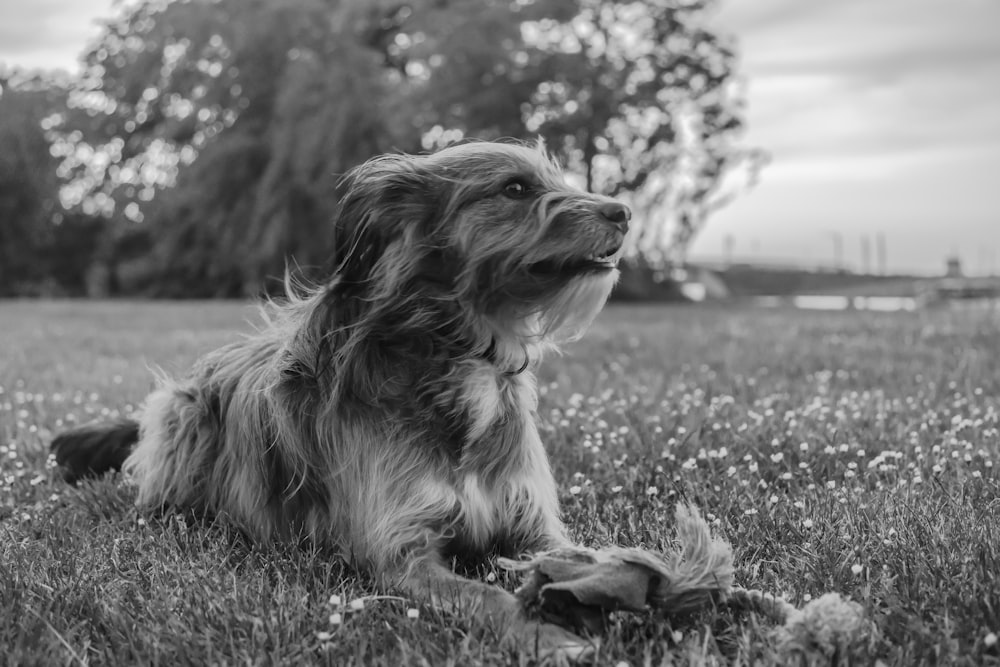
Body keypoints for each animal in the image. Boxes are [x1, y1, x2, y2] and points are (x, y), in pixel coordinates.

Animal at [50, 141, 628, 656]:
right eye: (514, 188)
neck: (464, 357)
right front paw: (549, 637)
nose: (623, 211)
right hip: (183, 414)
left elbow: (577, 557)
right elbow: (486, 598)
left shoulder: (534, 527)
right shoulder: (400, 554)